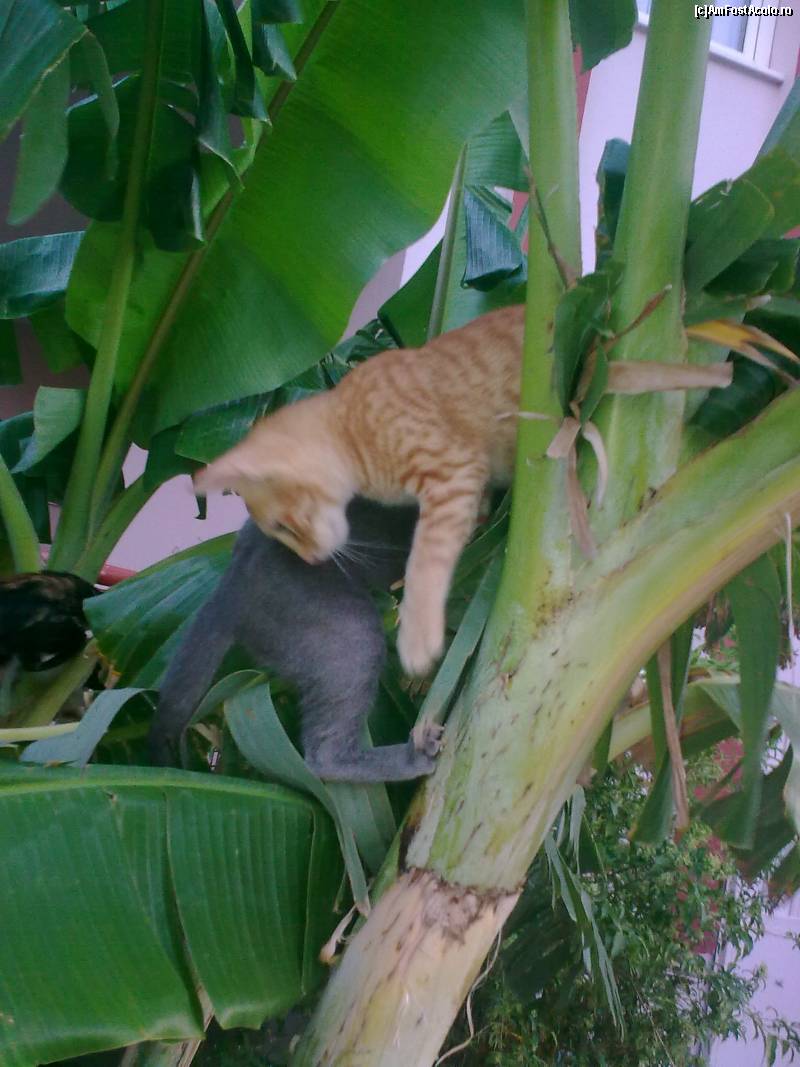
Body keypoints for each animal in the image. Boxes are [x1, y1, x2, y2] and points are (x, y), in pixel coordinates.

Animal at [195, 303, 525, 677]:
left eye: (281, 527)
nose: (309, 560)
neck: (348, 425)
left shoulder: (453, 471)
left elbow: (425, 559)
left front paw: (417, 636)